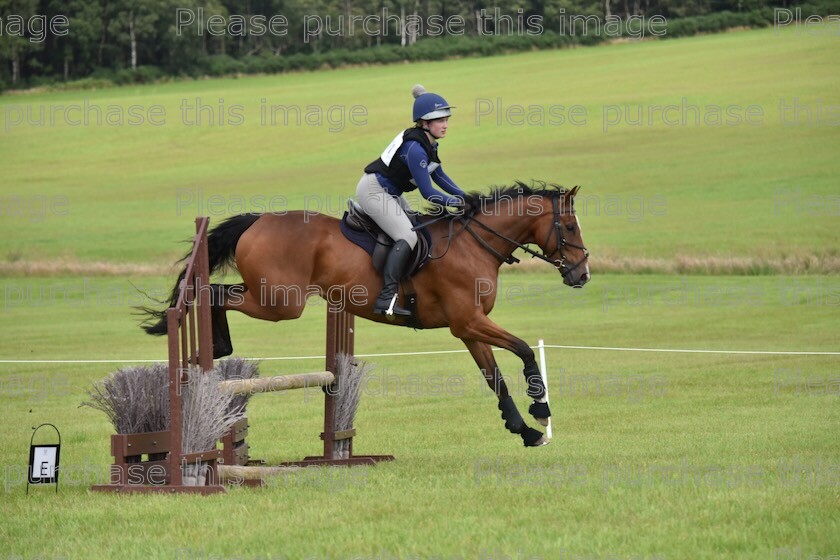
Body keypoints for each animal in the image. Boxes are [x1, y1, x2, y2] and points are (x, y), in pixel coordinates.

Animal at [143, 184, 592, 446]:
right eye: (570, 227)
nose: (582, 274)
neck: (474, 244)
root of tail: (259, 221)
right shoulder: (469, 322)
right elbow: (524, 350)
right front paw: (541, 410)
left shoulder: (467, 328)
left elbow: (493, 376)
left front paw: (525, 430)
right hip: (281, 302)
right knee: (215, 293)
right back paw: (217, 344)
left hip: (275, 298)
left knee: (219, 293)